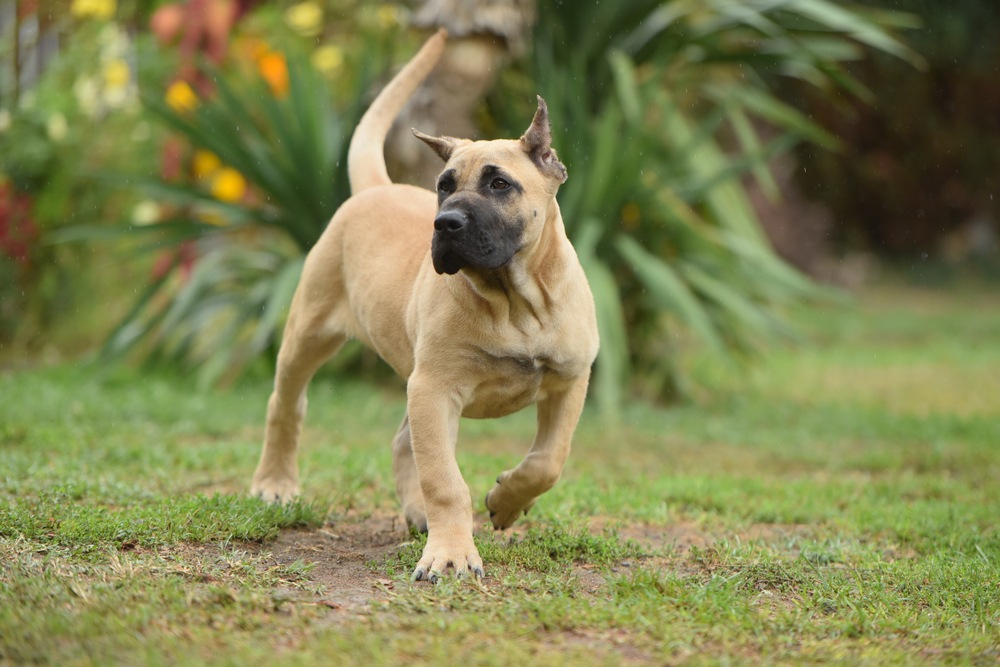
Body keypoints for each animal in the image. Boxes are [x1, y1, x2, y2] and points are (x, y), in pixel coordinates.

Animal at [254, 31, 596, 580]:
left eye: (500, 184)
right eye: (444, 186)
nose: (445, 224)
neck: (514, 300)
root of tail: (377, 187)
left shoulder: (568, 381)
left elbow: (548, 460)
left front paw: (506, 500)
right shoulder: (435, 389)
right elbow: (445, 480)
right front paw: (452, 553)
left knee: (401, 441)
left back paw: (417, 512)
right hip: (310, 332)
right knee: (286, 405)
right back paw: (275, 484)